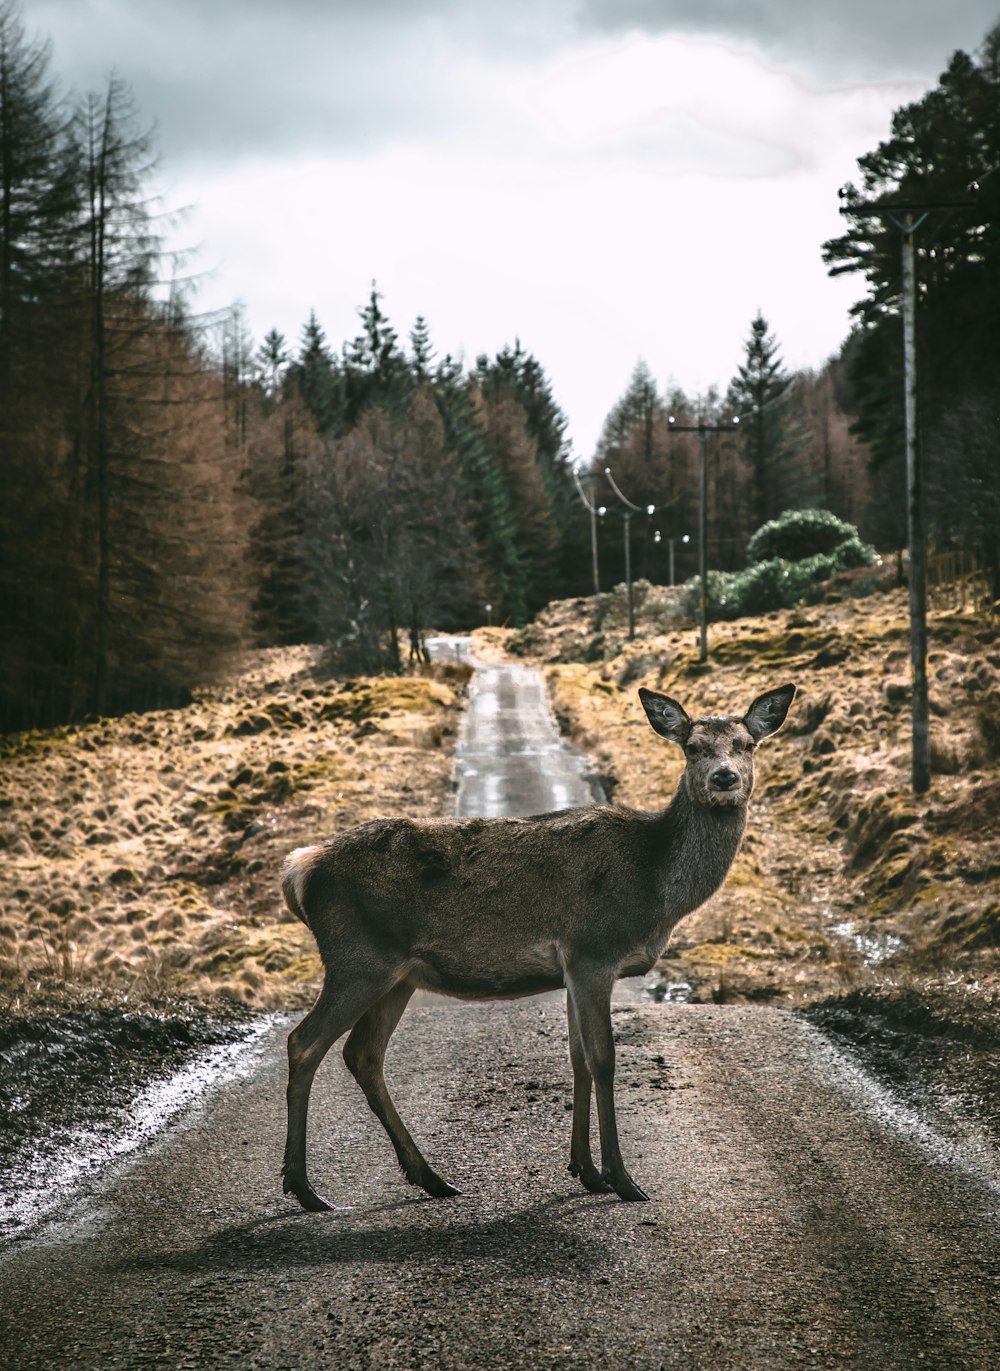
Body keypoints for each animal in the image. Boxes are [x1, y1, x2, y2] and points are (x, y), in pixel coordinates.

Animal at [281, 680, 795, 1206]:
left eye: (747, 744)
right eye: (692, 747)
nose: (724, 778)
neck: (653, 886)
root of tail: (300, 869)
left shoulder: (571, 968)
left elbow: (578, 1061)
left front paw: (585, 1170)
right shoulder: (593, 951)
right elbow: (604, 1060)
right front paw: (622, 1178)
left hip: (397, 975)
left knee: (363, 1055)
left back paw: (430, 1176)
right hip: (357, 959)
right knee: (305, 1042)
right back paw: (303, 1187)